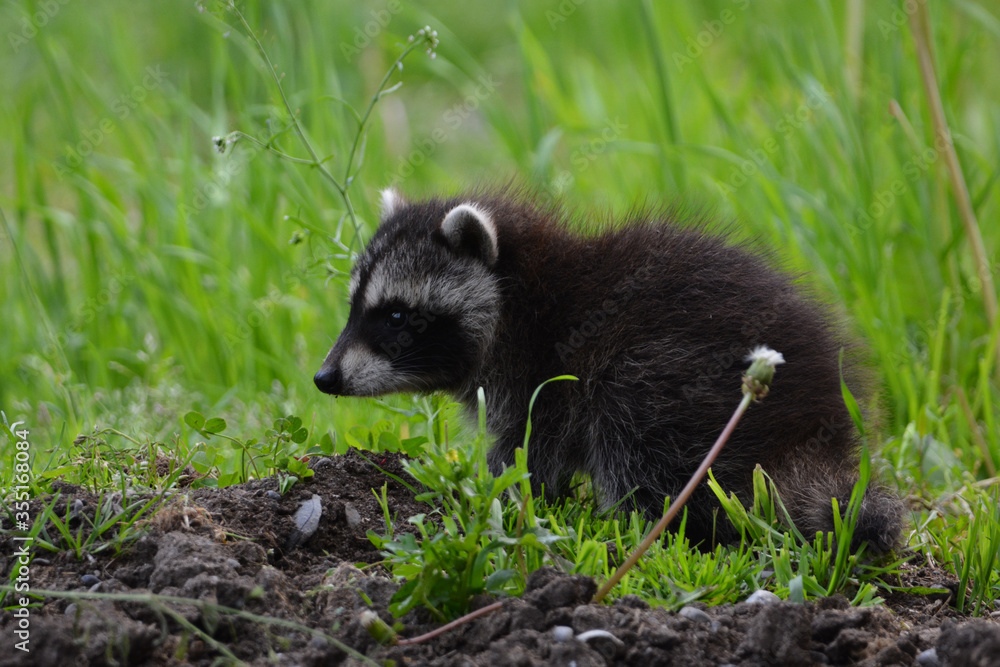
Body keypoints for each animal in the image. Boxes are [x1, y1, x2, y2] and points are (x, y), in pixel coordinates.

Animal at [314, 188, 903, 552]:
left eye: (396, 315)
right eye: (354, 307)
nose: (324, 378)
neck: (517, 293)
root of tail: (817, 424)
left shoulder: (543, 373)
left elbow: (529, 452)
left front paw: (490, 495)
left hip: (676, 373)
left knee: (632, 420)